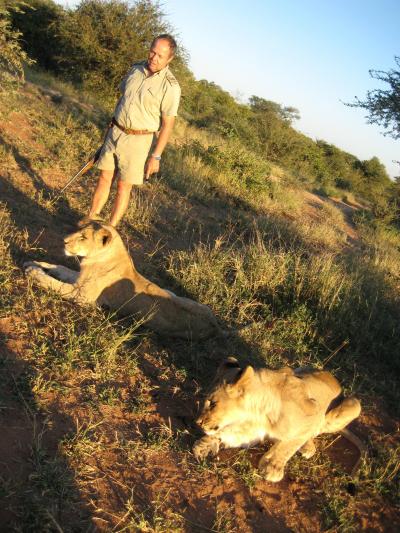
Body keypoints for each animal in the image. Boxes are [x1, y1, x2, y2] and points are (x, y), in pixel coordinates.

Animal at [23, 221, 219, 338]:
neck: (93, 259)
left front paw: (33, 271)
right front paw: (35, 262)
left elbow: (54, 283)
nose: (63, 240)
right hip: (174, 294)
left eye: (83, 237)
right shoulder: (79, 279)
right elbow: (60, 268)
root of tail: (215, 323)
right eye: (79, 231)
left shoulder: (82, 295)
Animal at [192, 360, 364, 480]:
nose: (197, 422)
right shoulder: (252, 432)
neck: (257, 414)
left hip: (353, 406)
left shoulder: (314, 415)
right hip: (296, 369)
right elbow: (228, 435)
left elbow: (287, 445)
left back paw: (307, 448)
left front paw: (272, 467)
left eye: (213, 404)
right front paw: (204, 444)